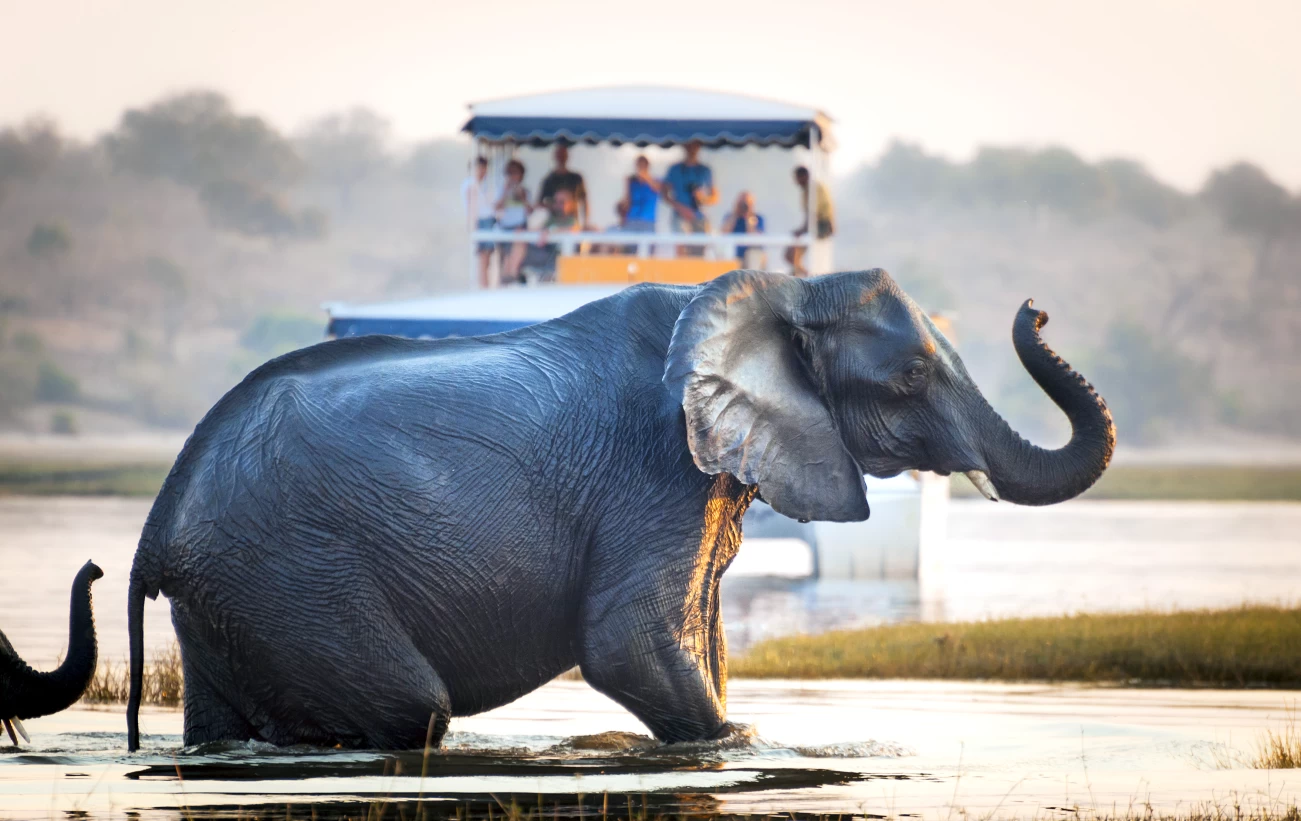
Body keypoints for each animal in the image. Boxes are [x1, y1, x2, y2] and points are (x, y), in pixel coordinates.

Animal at [126, 268, 1113, 749]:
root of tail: (157, 528)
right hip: (292, 572)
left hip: (237, 596)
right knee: (410, 707)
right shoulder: (653, 469)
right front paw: (737, 742)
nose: (1036, 308)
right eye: (908, 375)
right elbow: (628, 643)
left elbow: (700, 641)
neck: (767, 293)